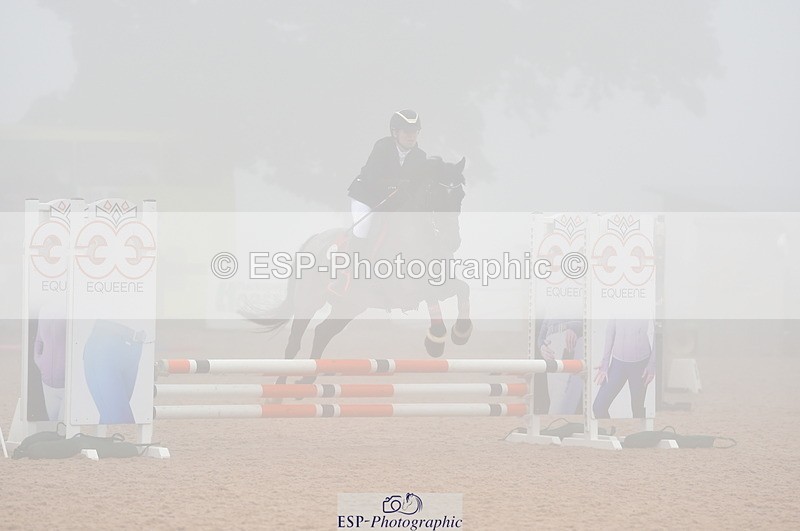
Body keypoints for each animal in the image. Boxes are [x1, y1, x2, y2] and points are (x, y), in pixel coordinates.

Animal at [245, 157, 472, 381]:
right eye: (433, 193)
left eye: (460, 195)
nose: (452, 241)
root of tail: (314, 241)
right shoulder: (405, 289)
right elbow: (430, 294)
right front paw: (435, 342)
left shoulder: (443, 284)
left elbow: (463, 289)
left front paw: (460, 334)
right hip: (308, 303)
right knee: (294, 344)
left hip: (349, 306)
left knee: (322, 333)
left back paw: (308, 381)